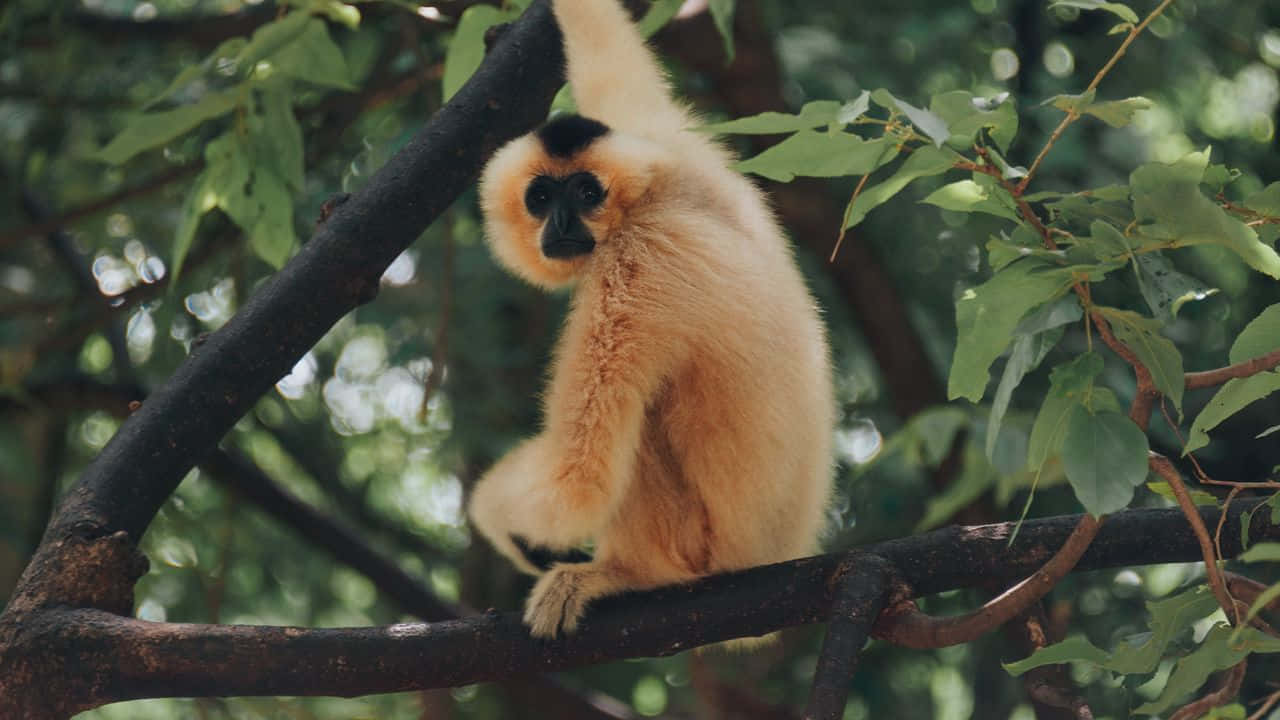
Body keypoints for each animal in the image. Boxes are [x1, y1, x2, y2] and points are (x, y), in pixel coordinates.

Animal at [466, 0, 834, 639]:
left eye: (586, 192)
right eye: (541, 198)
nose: (560, 222)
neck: (652, 202)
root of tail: (775, 555)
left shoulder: (632, 273)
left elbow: (579, 480)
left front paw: (494, 513)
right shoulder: (668, 145)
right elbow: (613, 62)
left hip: (698, 545)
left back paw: (625, 575)